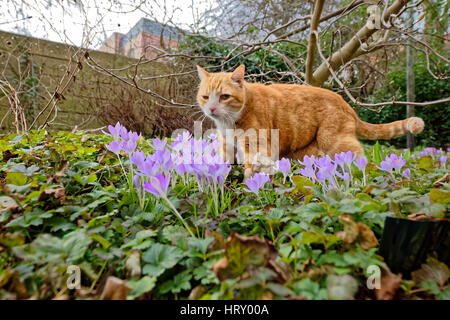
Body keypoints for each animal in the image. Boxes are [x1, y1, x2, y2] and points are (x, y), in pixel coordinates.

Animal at [195, 63, 424, 176]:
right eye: (206, 97)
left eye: (224, 96)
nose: (211, 108)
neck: (230, 122)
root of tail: (346, 103)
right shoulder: (227, 145)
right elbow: (224, 162)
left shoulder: (257, 145)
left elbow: (252, 169)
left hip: (334, 141)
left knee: (358, 156)